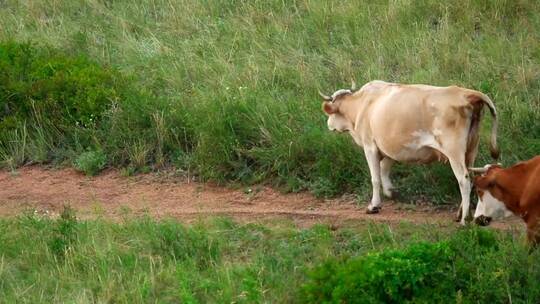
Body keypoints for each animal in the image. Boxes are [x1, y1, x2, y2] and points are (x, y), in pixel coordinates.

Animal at [318, 79, 500, 224]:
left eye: (332, 113)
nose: (328, 125)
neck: (363, 105)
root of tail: (466, 94)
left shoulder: (370, 146)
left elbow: (375, 178)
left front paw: (373, 206)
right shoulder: (389, 148)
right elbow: (384, 170)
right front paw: (391, 192)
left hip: (454, 151)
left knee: (464, 179)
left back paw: (464, 219)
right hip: (471, 149)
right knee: (472, 177)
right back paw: (460, 213)